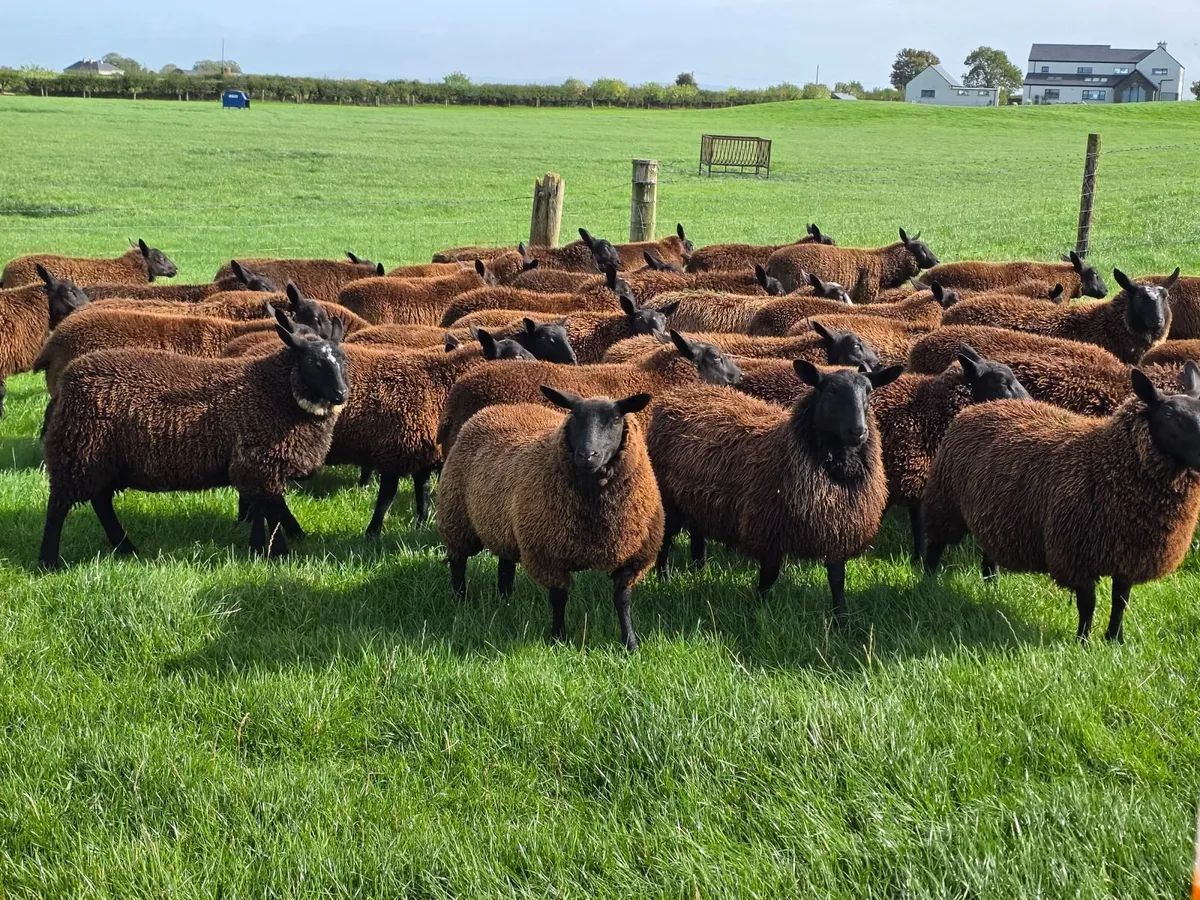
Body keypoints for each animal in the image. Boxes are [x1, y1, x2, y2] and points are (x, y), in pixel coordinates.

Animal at [39, 308, 348, 568]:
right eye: (314, 362)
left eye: (343, 359)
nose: (341, 394)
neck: (275, 390)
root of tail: (69, 378)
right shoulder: (262, 460)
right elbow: (273, 510)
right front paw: (281, 552)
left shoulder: (255, 464)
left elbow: (264, 507)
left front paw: (259, 546)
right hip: (78, 450)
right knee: (58, 506)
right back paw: (48, 561)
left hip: (101, 458)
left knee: (101, 502)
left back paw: (125, 547)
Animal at [438, 388, 663, 650]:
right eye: (573, 416)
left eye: (616, 419)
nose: (587, 455)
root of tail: (499, 408)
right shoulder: (548, 554)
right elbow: (558, 599)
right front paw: (558, 638)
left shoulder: (632, 557)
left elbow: (622, 601)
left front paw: (630, 643)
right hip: (456, 517)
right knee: (458, 561)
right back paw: (460, 599)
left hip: (504, 527)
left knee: (505, 565)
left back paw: (505, 601)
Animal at [646, 362, 902, 621]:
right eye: (831, 390)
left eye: (869, 391)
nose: (858, 431)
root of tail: (679, 393)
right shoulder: (769, 528)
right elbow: (769, 577)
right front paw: (759, 611)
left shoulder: (837, 530)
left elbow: (837, 580)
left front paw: (842, 620)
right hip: (668, 500)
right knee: (665, 540)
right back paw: (664, 578)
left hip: (698, 499)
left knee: (697, 532)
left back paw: (699, 569)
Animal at [922, 363, 1200, 642]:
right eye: (1169, 414)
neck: (1107, 460)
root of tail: (983, 405)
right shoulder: (1076, 555)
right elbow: (1088, 604)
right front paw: (1083, 641)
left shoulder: (1129, 557)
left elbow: (1121, 602)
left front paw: (1114, 639)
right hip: (945, 503)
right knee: (934, 548)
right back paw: (928, 585)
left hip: (989, 511)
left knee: (988, 554)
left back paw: (992, 588)